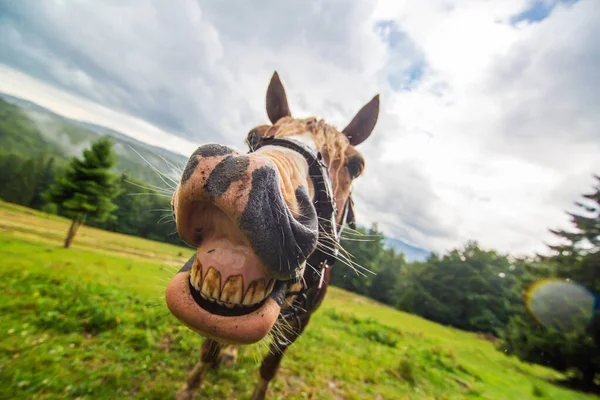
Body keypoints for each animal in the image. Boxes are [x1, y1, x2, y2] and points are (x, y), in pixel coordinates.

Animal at [164, 72, 380, 400]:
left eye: (355, 166)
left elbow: (269, 367)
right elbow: (210, 346)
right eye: (254, 136)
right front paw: (191, 386)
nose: (234, 172)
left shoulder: (298, 324)